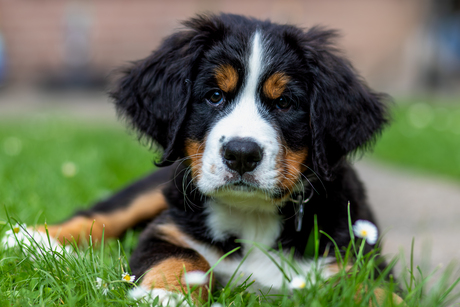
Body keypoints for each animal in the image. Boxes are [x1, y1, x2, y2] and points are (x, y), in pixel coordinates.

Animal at [34, 13, 390, 304]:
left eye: (285, 103)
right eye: (214, 96)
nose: (242, 154)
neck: (253, 216)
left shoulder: (358, 259)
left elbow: (377, 292)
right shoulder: (166, 231)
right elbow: (186, 258)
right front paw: (168, 295)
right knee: (104, 212)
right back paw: (36, 238)